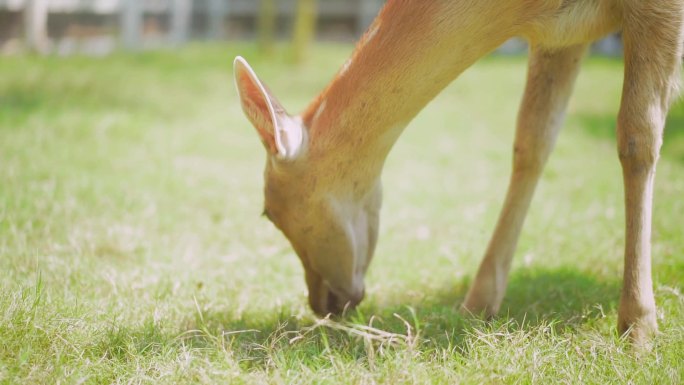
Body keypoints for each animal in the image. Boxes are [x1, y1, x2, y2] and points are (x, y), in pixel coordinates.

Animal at [232, 0, 680, 342]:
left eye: (270, 212)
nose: (322, 303)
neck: (523, 10)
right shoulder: (561, 35)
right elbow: (532, 139)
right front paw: (478, 303)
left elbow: (638, 135)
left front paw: (639, 327)